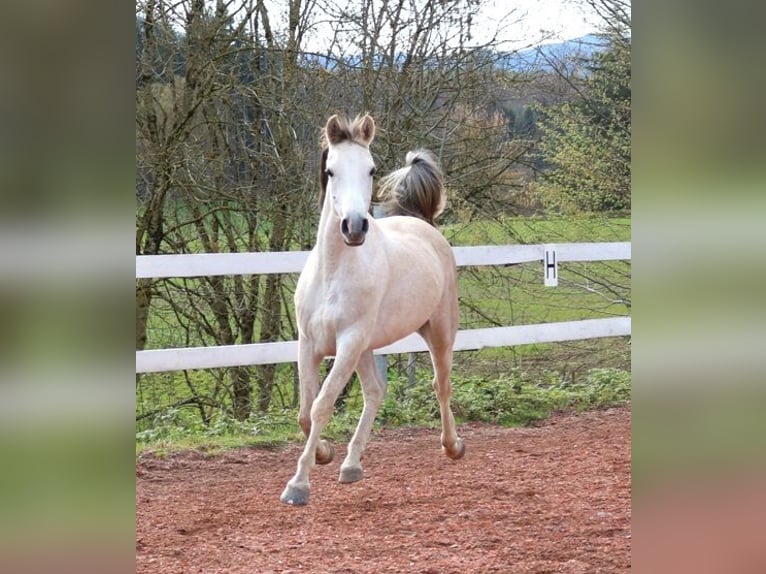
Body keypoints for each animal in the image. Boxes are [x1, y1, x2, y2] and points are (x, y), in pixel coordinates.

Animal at [280, 114, 464, 506]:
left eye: (371, 169)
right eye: (331, 170)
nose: (354, 226)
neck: (333, 273)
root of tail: (421, 223)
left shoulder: (347, 343)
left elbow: (321, 405)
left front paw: (298, 486)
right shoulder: (308, 344)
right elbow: (305, 413)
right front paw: (324, 453)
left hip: (439, 332)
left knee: (441, 385)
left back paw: (453, 446)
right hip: (367, 348)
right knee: (376, 392)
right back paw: (351, 464)